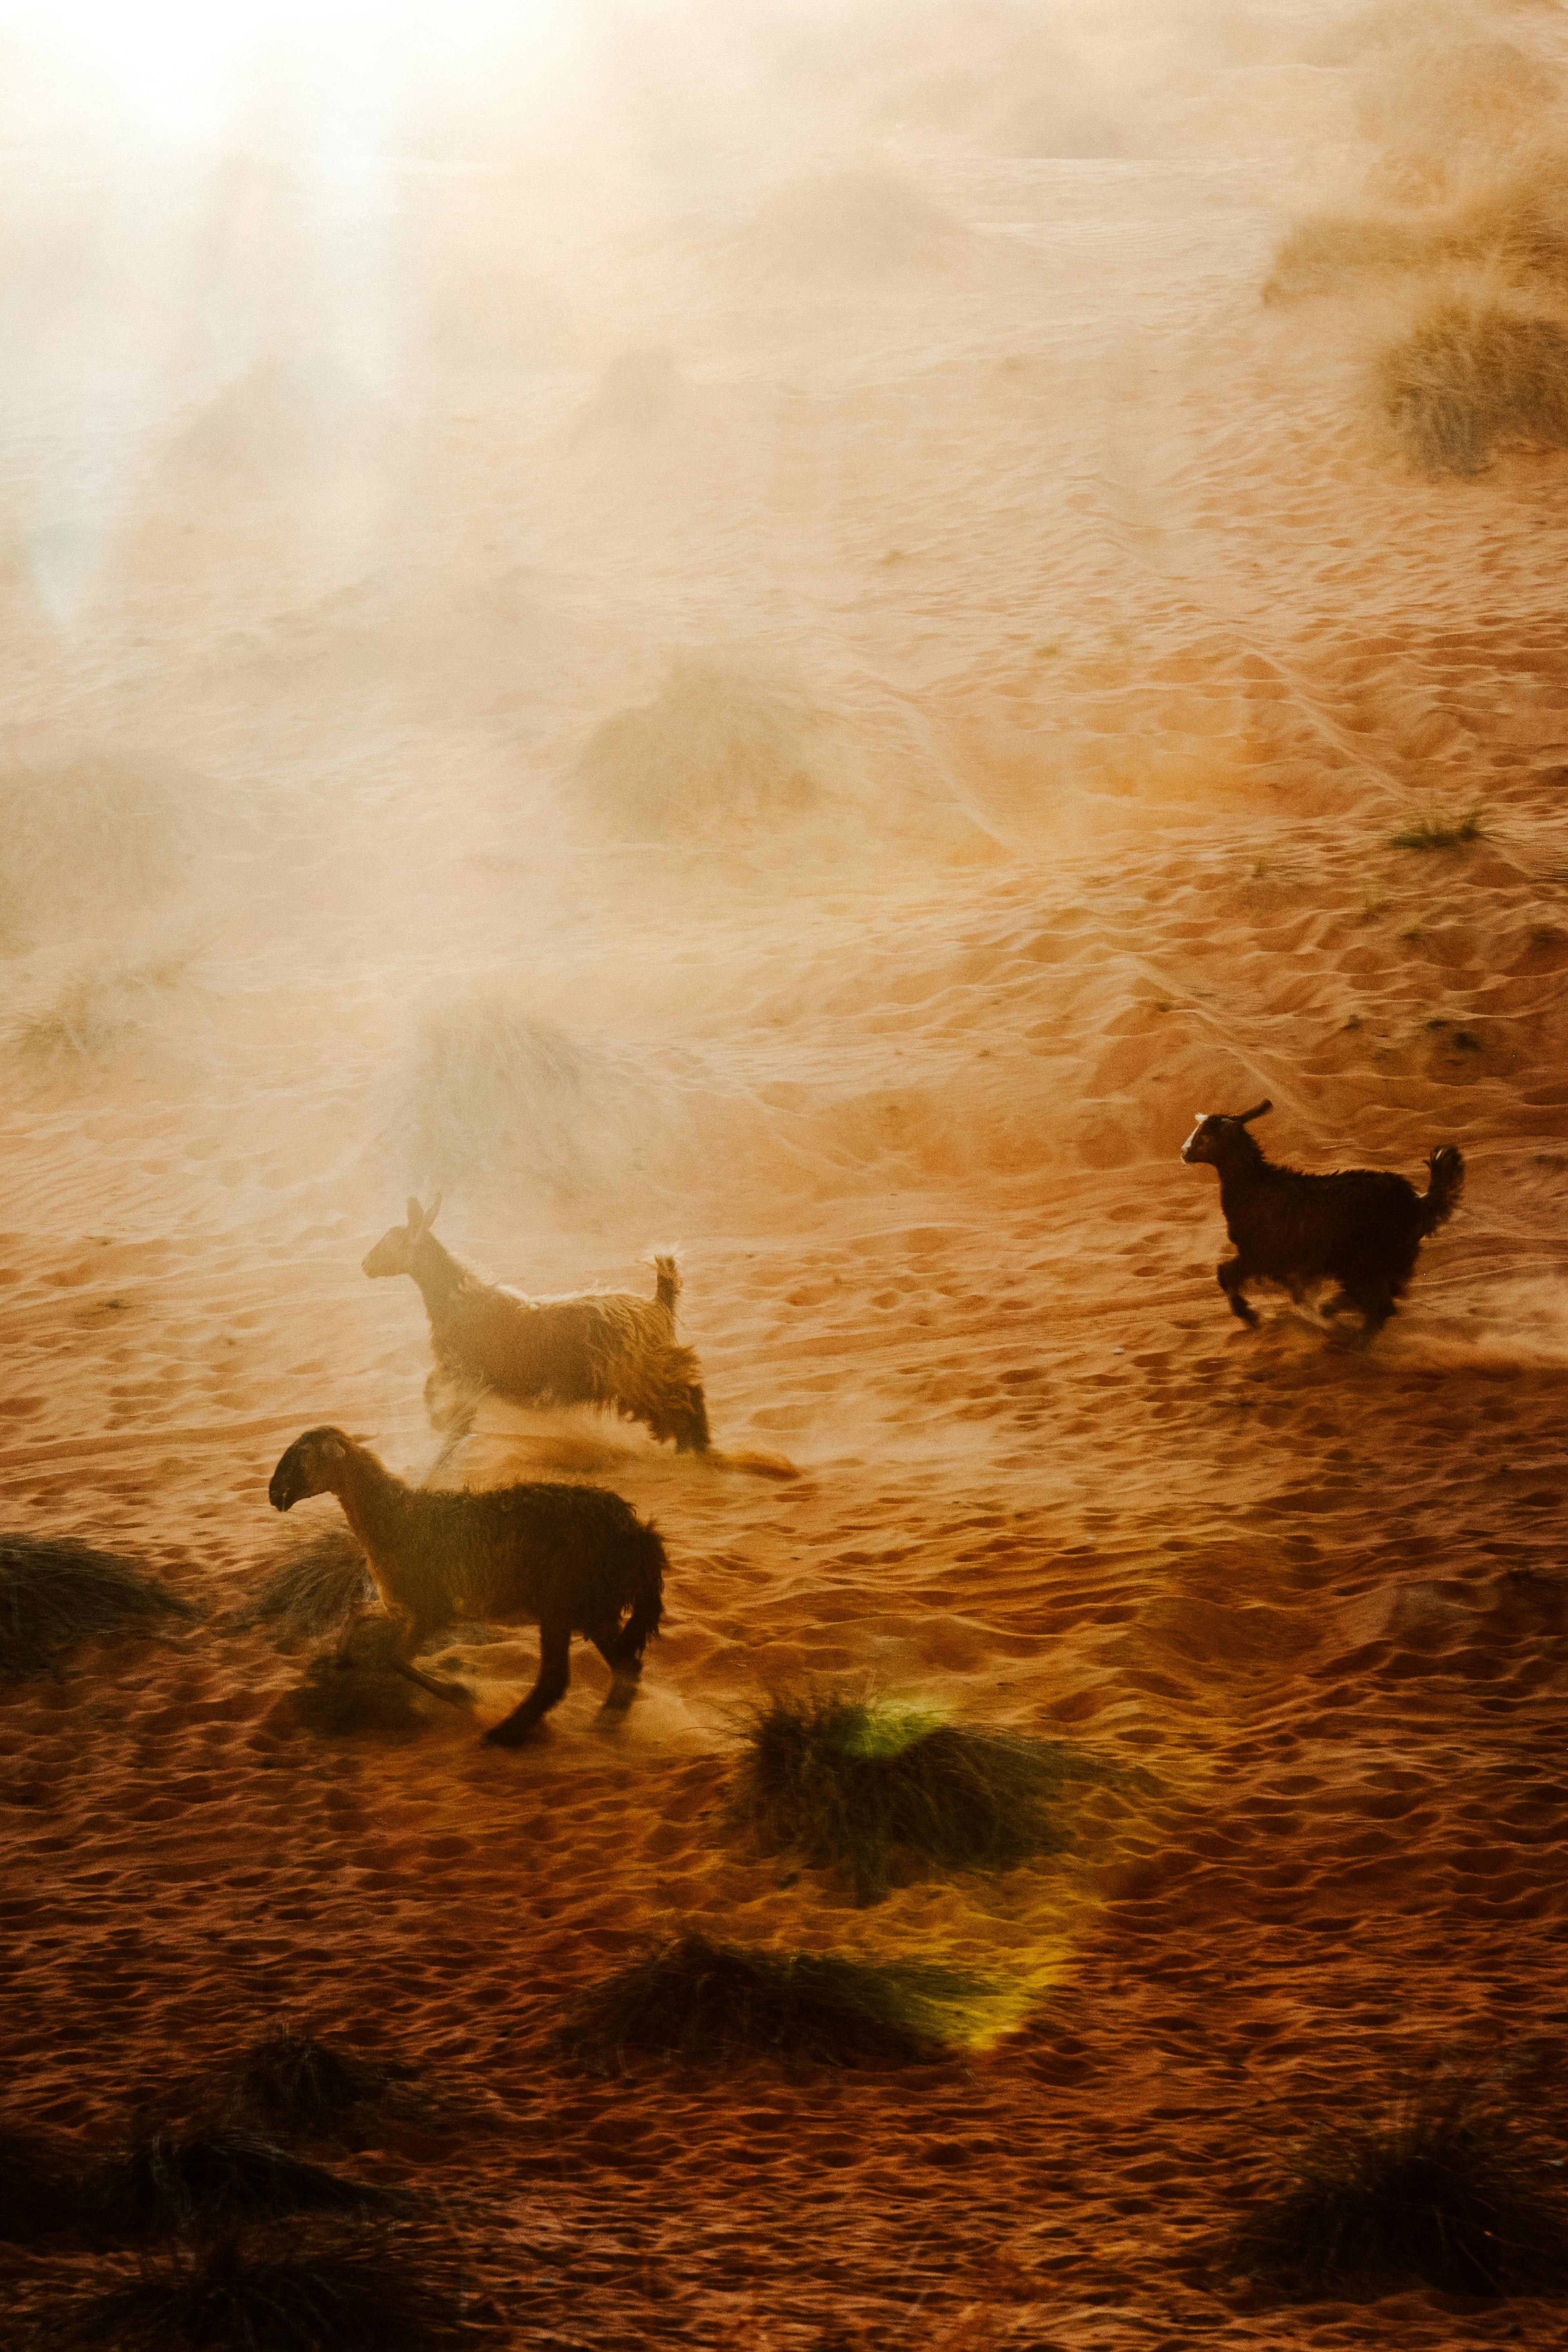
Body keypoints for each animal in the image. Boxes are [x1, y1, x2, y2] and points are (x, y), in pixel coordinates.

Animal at [268, 1427, 666, 1745]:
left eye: (304, 1453)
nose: (273, 1494)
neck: (396, 1517)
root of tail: (637, 1533)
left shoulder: (432, 1611)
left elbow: (396, 1660)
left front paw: (462, 1695)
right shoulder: (401, 1605)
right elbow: (358, 1611)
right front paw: (341, 1657)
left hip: (562, 1603)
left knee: (557, 1678)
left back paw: (506, 1733)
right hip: (593, 1608)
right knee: (626, 1668)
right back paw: (602, 1725)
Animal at [362, 1198, 711, 1453]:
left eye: (390, 1243)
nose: (365, 1265)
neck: (457, 1298)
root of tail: (658, 1303)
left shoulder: (462, 1372)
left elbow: (434, 1394)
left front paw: (444, 1427)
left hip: (645, 1376)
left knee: (687, 1399)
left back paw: (696, 1448)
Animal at [1182, 1100, 1464, 1338]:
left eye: (1206, 1135)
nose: (1184, 1152)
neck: (1256, 1187)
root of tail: (1417, 1201)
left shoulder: (1260, 1256)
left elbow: (1227, 1275)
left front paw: (1251, 1317)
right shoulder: (1288, 1264)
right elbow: (1298, 1296)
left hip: (1369, 1261)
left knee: (1380, 1303)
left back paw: (1349, 1337)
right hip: (1381, 1261)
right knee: (1383, 1298)